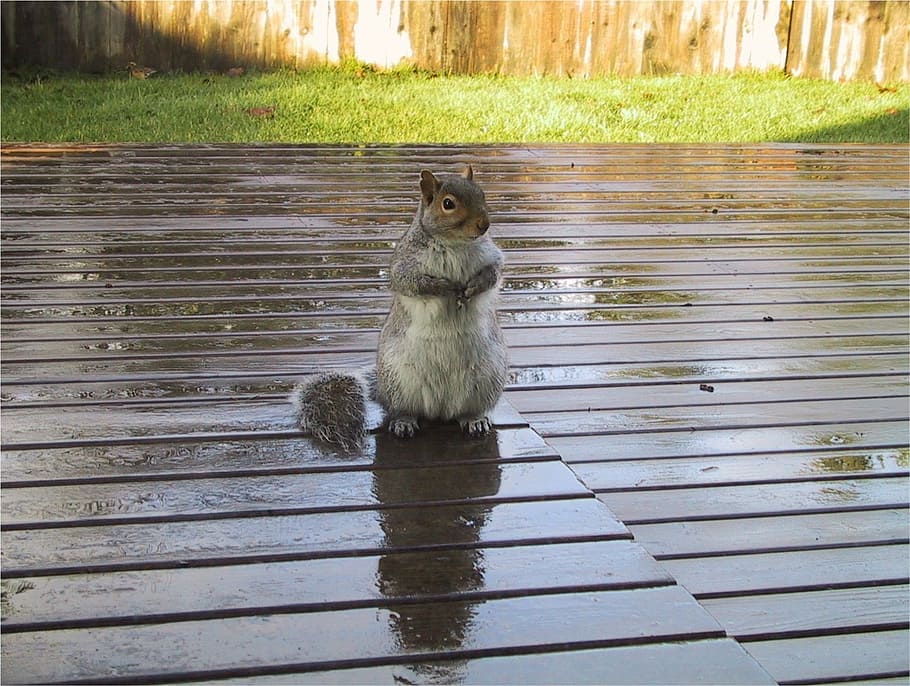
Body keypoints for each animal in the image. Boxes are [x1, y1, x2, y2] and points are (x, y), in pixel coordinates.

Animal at [291, 165, 508, 450]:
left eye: (482, 193)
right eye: (448, 204)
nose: (484, 225)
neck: (455, 244)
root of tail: (441, 411)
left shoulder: (491, 256)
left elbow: (492, 273)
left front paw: (473, 287)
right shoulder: (404, 264)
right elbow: (411, 282)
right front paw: (444, 287)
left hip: (486, 380)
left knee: (466, 412)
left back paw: (475, 420)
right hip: (400, 383)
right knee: (403, 410)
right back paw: (403, 422)